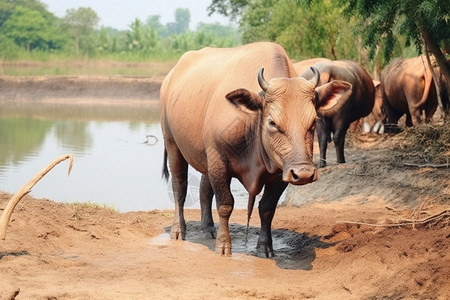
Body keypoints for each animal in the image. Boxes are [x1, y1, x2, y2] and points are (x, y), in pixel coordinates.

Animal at [160, 42, 354, 258]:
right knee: (180, 189)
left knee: (204, 189)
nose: (304, 173)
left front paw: (265, 246)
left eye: (313, 121)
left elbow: (267, 208)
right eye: (272, 122)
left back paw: (208, 228)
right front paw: (224, 244)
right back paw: (178, 230)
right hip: (173, 144)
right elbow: (225, 204)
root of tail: (170, 77)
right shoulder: (218, 159)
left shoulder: (281, 171)